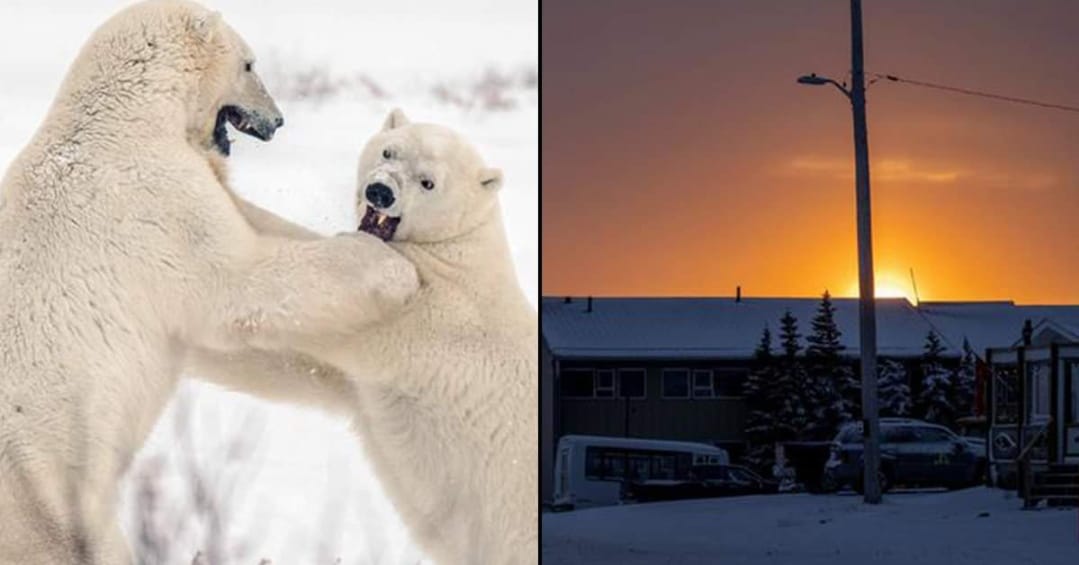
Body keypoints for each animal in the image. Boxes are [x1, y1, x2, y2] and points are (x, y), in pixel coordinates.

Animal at [0, 2, 418, 563]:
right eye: (250, 63)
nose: (278, 119)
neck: (125, 119)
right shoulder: (159, 204)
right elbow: (240, 282)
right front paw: (394, 270)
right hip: (43, 478)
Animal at [192, 110, 538, 565]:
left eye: (428, 182)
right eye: (389, 151)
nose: (380, 191)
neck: (458, 251)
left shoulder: (425, 316)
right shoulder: (360, 383)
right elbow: (279, 364)